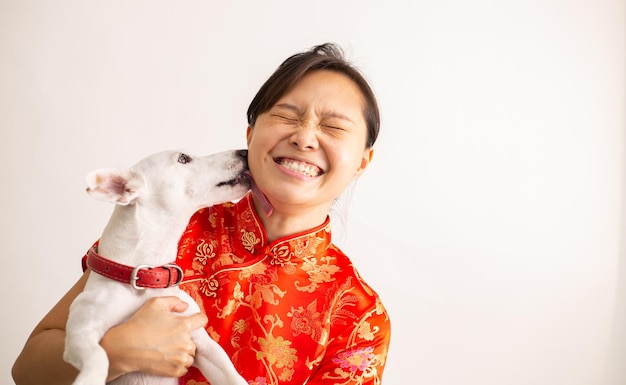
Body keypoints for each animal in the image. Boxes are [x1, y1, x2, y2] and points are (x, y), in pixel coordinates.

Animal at [62, 149, 249, 384]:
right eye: (183, 158)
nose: (244, 151)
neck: (147, 276)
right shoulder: (80, 332)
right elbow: (99, 355)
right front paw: (90, 377)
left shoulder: (204, 345)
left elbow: (231, 373)